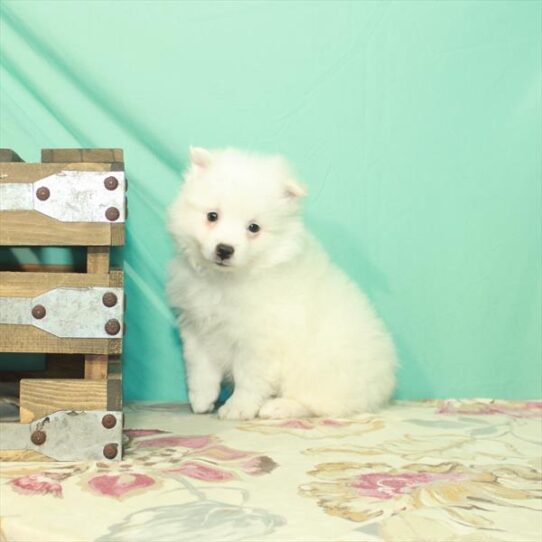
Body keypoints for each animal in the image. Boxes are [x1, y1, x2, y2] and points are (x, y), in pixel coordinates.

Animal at [168, 148, 398, 420]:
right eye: (212, 216)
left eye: (253, 228)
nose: (224, 249)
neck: (226, 279)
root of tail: (382, 389)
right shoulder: (197, 328)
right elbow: (200, 369)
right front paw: (202, 400)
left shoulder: (258, 341)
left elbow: (248, 378)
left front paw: (237, 407)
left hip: (322, 367)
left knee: (320, 403)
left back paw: (279, 406)